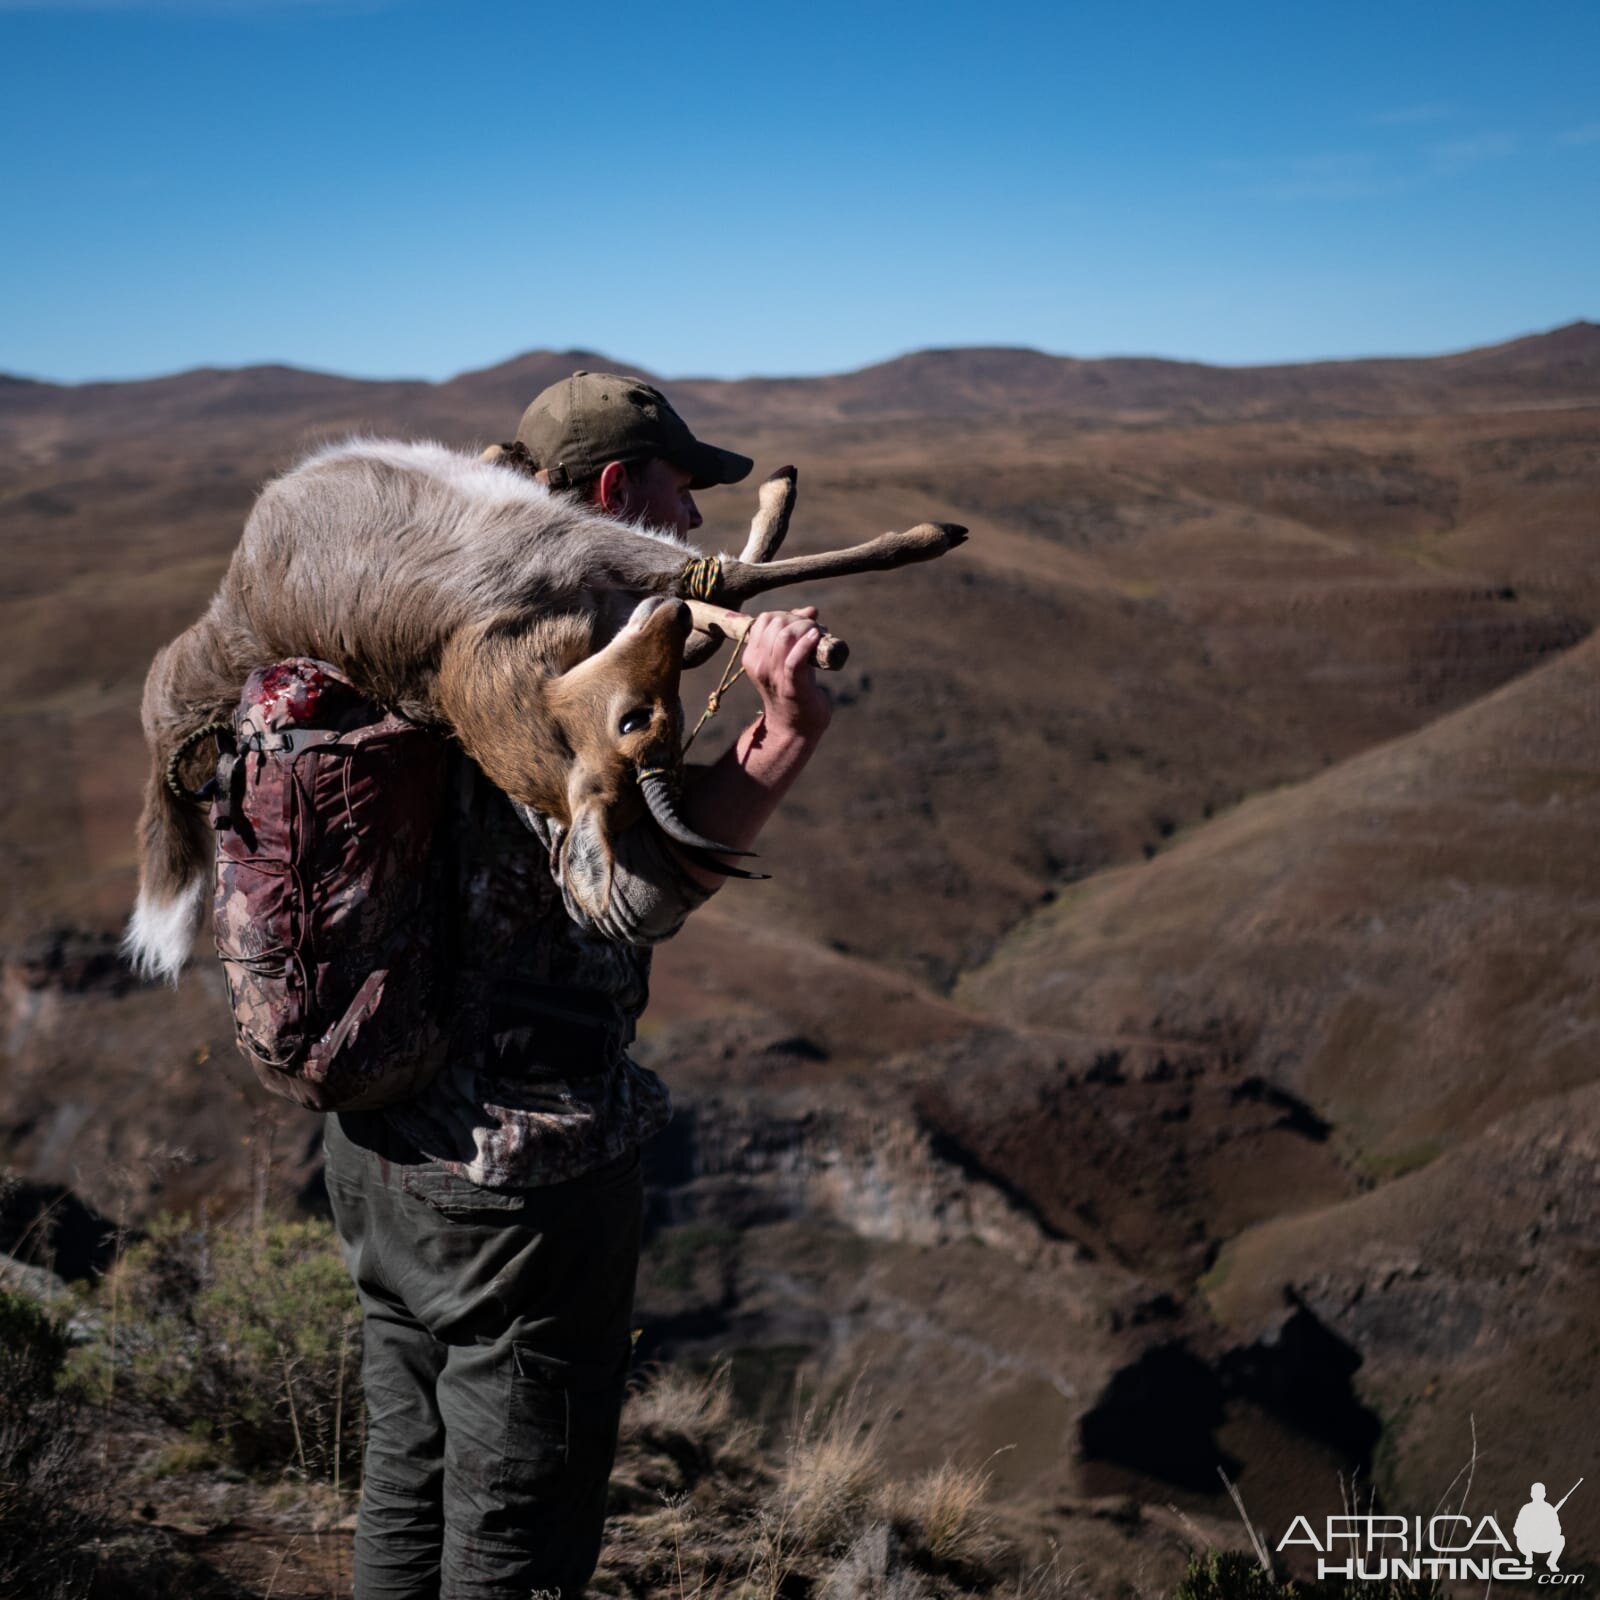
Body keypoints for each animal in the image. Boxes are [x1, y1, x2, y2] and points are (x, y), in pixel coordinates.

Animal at [131, 444, 960, 979]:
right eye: (635, 721)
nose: (659, 620)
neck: (466, 650)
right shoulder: (576, 548)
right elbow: (727, 579)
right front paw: (924, 540)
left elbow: (714, 606)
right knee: (716, 576)